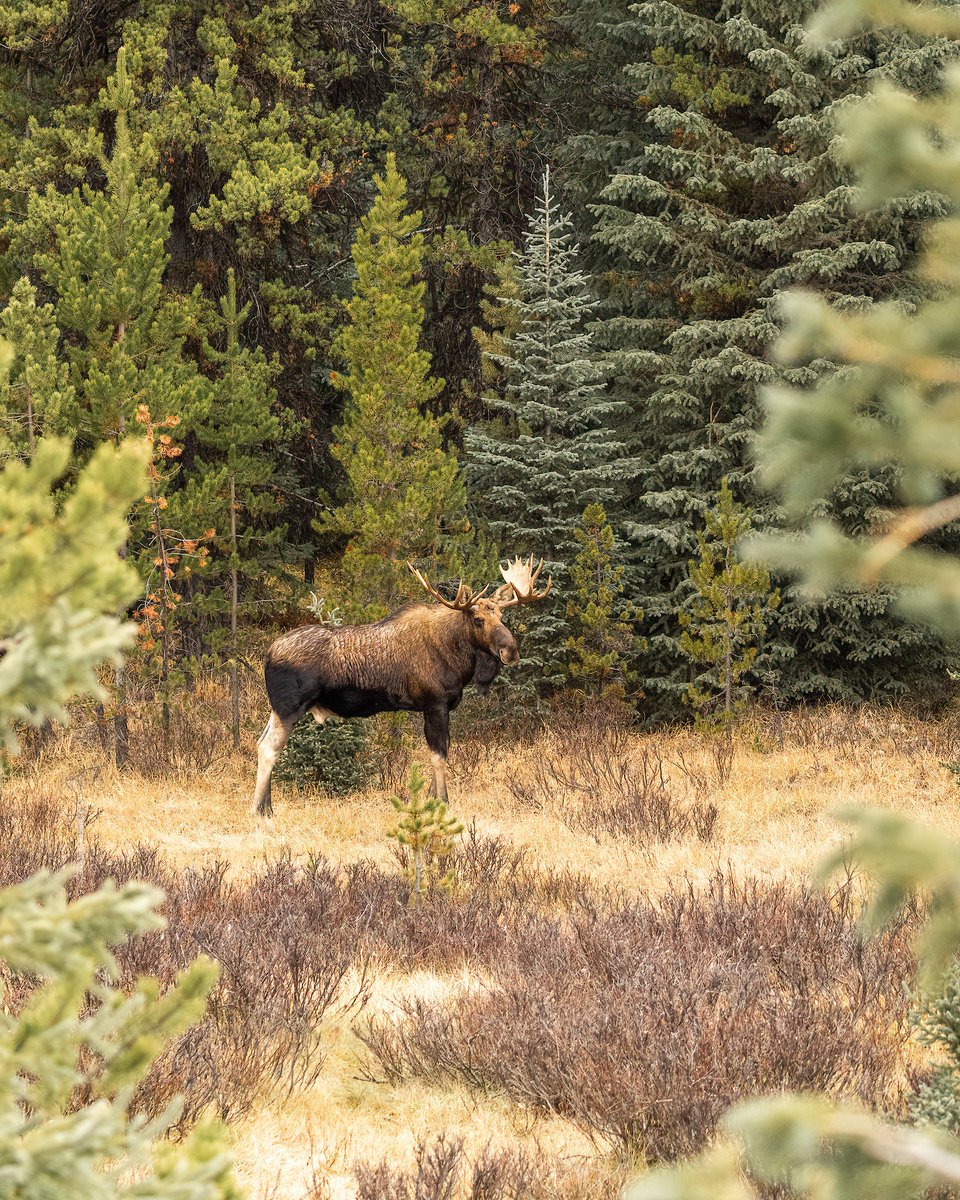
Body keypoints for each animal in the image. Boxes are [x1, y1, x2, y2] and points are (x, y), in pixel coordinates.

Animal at [250, 552, 552, 816]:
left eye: (501, 617)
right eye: (478, 620)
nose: (510, 650)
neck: (457, 656)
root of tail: (268, 654)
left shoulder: (442, 707)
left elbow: (439, 751)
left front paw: (431, 798)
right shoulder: (434, 703)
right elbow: (439, 754)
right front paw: (442, 801)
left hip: (277, 708)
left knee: (261, 742)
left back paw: (267, 806)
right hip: (290, 706)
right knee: (269, 748)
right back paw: (259, 809)